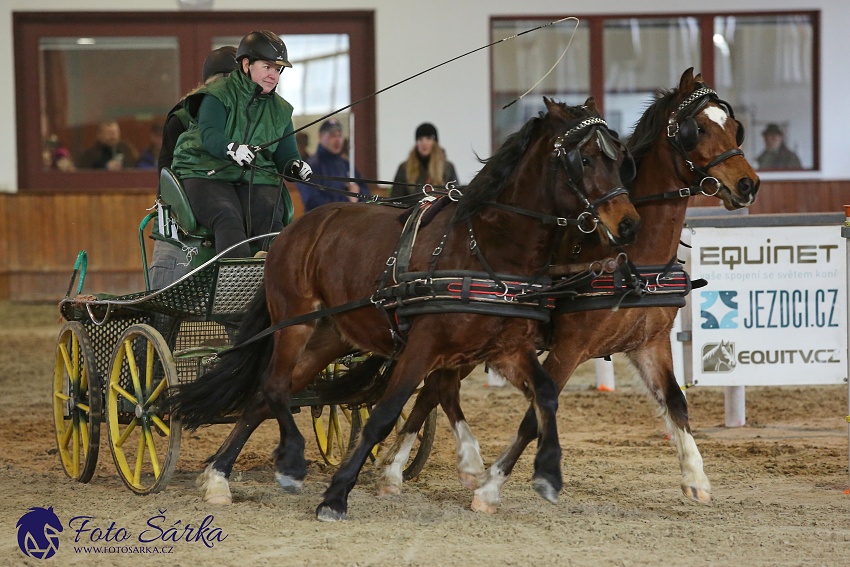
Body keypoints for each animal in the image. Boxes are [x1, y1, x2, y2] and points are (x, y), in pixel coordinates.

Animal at [171, 95, 636, 520]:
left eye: (619, 157)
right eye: (585, 159)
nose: (630, 224)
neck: (485, 245)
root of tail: (293, 230)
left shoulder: (506, 348)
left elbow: (545, 396)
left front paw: (545, 474)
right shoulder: (423, 346)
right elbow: (385, 413)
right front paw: (336, 496)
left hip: (330, 336)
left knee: (269, 394)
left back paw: (217, 475)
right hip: (293, 323)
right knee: (273, 386)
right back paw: (286, 463)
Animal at [374, 66, 760, 510]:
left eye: (733, 127)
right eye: (697, 129)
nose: (748, 184)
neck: (626, 253)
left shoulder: (650, 342)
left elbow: (676, 402)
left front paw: (696, 477)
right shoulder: (569, 347)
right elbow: (533, 418)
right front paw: (490, 489)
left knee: (433, 388)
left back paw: (394, 466)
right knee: (433, 387)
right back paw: (402, 467)